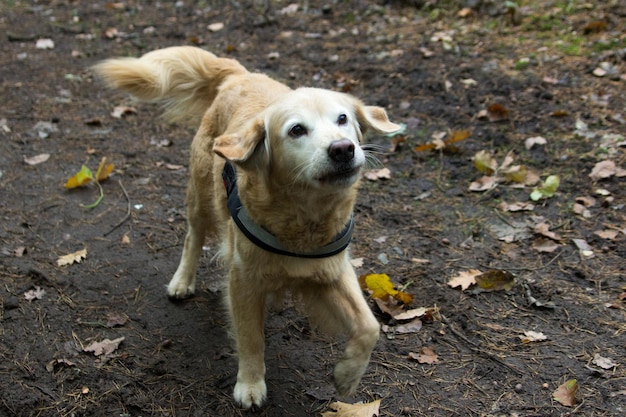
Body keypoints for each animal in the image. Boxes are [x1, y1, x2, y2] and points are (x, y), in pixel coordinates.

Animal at [95, 45, 398, 406]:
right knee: (193, 237)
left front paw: (347, 377)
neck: (303, 217)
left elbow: (369, 326)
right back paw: (182, 281)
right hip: (200, 195)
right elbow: (251, 337)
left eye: (343, 119)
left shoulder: (332, 271)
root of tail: (239, 75)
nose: (343, 149)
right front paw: (251, 384)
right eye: (297, 130)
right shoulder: (243, 279)